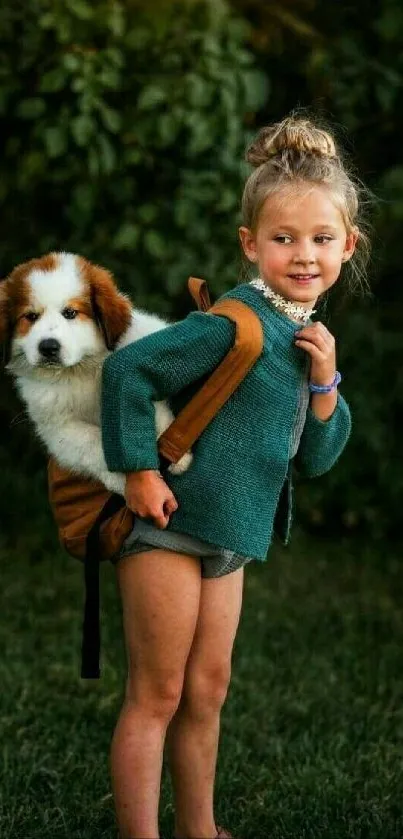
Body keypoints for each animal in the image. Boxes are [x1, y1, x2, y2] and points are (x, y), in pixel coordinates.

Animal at [0, 253, 193, 496]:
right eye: (31, 316)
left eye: (70, 313)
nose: (48, 347)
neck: (78, 370)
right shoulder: (57, 427)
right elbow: (92, 441)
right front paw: (125, 481)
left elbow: (149, 408)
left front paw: (178, 457)